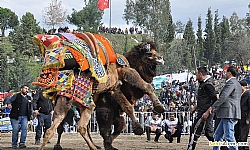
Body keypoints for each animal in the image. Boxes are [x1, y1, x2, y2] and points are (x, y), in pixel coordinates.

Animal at [31, 31, 164, 150]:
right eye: (150, 53)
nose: (161, 58)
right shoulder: (120, 81)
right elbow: (140, 93)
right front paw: (154, 112)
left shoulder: (113, 100)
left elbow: (119, 125)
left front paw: (109, 144)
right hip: (86, 106)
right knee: (78, 127)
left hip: (64, 105)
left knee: (53, 129)